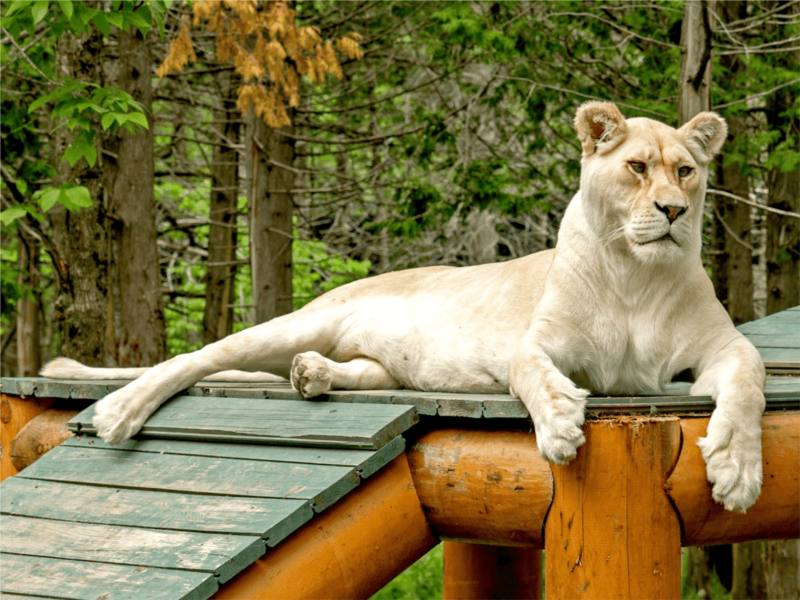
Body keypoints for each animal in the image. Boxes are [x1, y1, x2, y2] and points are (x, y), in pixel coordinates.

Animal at [45, 101, 768, 512]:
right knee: (197, 357)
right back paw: (118, 411)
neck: (635, 277)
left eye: (686, 172)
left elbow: (749, 384)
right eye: (639, 168)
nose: (673, 211)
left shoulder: (722, 347)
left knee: (351, 370)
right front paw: (561, 426)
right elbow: (532, 373)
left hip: (368, 359)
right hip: (301, 319)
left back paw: (313, 375)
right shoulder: (536, 343)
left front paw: (738, 471)